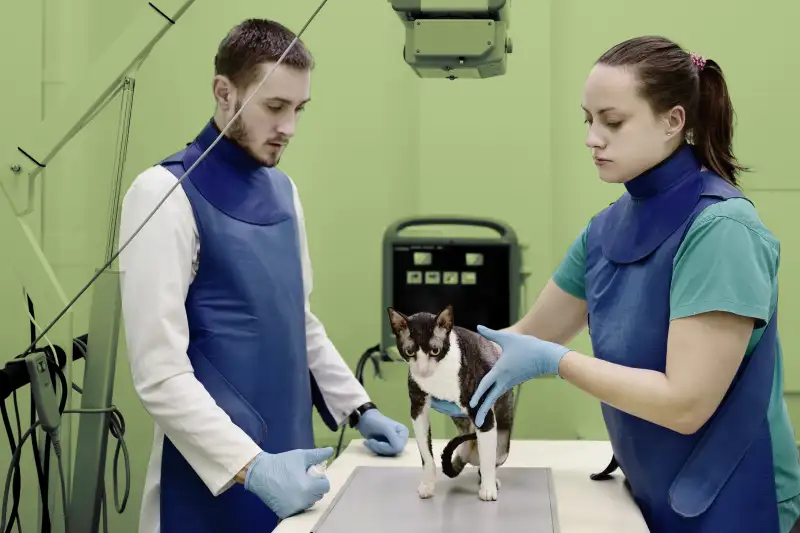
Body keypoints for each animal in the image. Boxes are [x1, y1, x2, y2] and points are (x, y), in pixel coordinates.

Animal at [386, 306, 512, 500]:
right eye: (409, 352)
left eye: (435, 351)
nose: (422, 370)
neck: (437, 377)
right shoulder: (418, 408)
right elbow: (426, 454)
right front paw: (427, 484)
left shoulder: (482, 410)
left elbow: (487, 460)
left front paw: (488, 489)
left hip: (503, 440)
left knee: (490, 458)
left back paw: (491, 481)